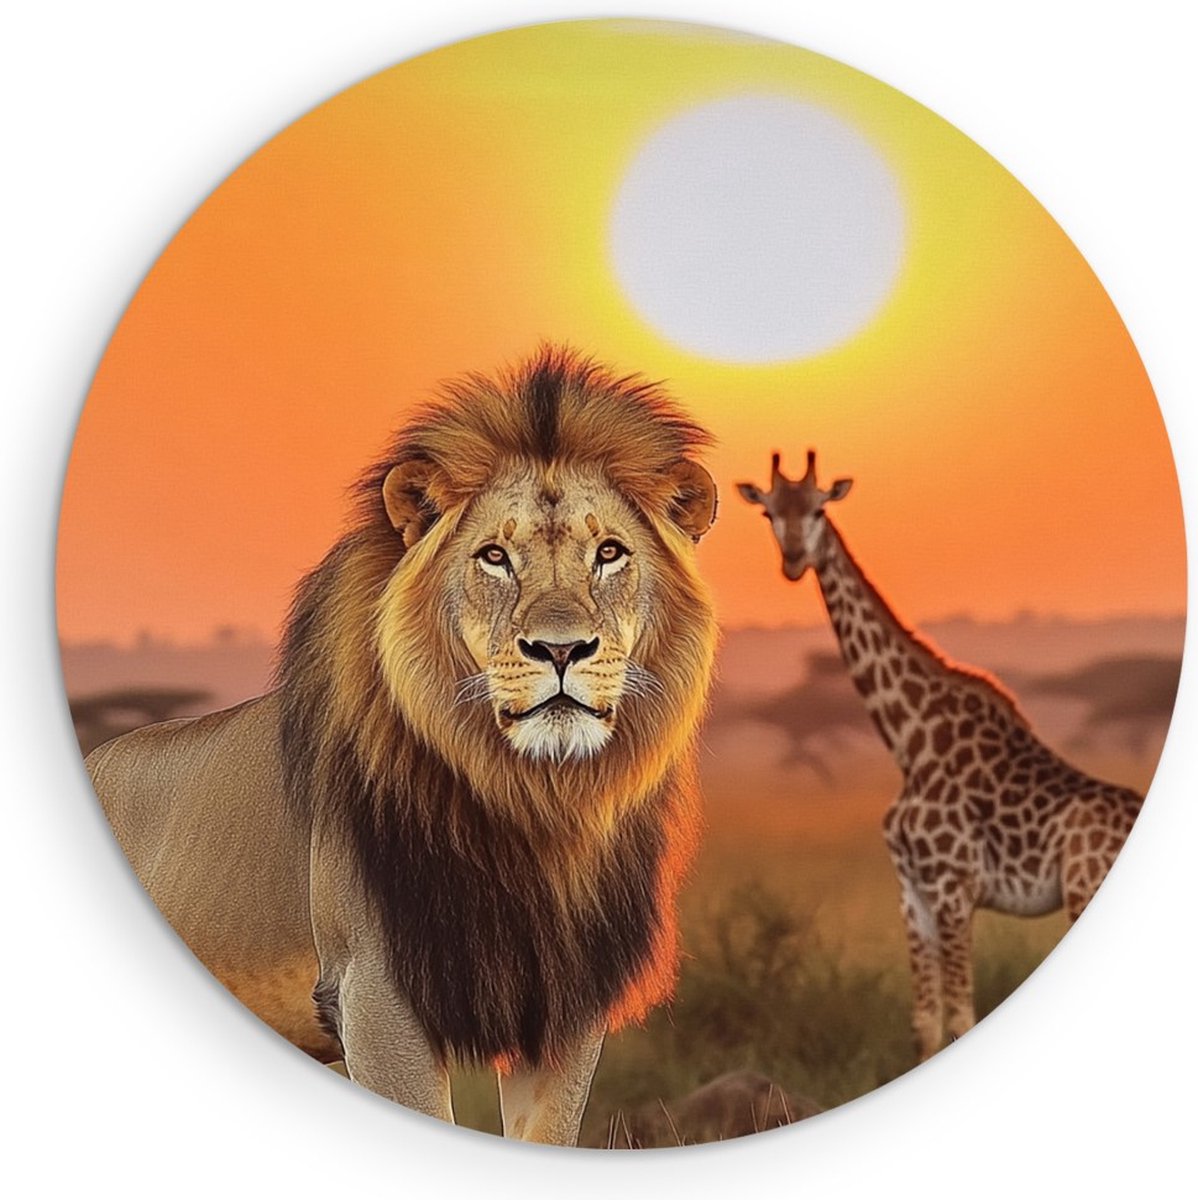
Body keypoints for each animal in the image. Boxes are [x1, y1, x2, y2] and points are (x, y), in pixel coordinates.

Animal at [737, 451, 1144, 1061]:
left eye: (817, 509)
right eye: (768, 512)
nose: (792, 561)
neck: (911, 740)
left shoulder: (954, 889)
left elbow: (961, 1018)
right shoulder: (913, 896)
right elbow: (926, 1025)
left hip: (1081, 888)